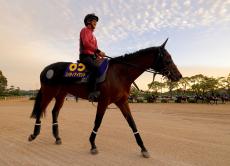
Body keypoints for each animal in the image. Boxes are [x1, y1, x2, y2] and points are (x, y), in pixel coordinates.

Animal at [28, 38, 181, 157]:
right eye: (168, 59)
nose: (179, 76)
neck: (120, 73)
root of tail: (46, 69)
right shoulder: (104, 101)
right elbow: (98, 122)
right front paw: (93, 144)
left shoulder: (122, 102)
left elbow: (132, 123)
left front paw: (143, 148)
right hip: (49, 92)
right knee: (40, 110)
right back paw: (34, 134)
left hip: (61, 94)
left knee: (55, 112)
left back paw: (57, 137)